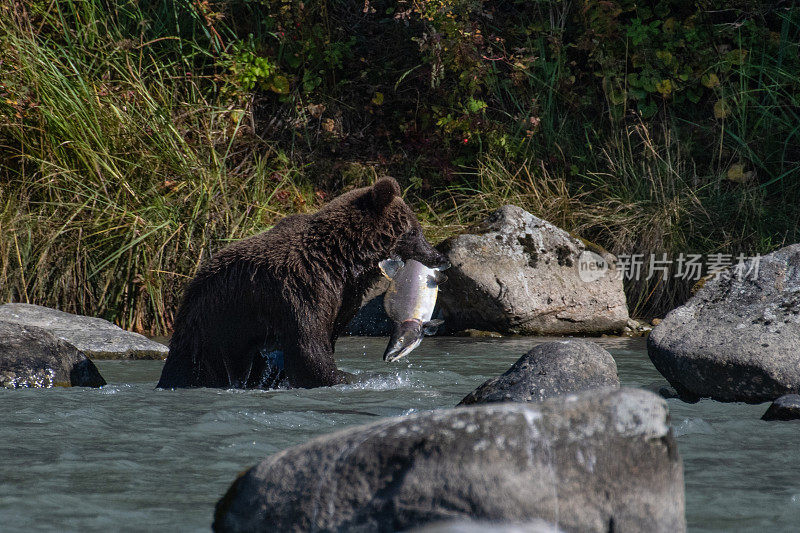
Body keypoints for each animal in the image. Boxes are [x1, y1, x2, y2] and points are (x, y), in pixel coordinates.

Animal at [155, 177, 444, 388]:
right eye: (414, 231)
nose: (439, 256)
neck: (340, 259)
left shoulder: (341, 297)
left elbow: (326, 337)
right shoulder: (300, 287)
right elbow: (309, 350)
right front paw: (346, 377)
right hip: (211, 324)